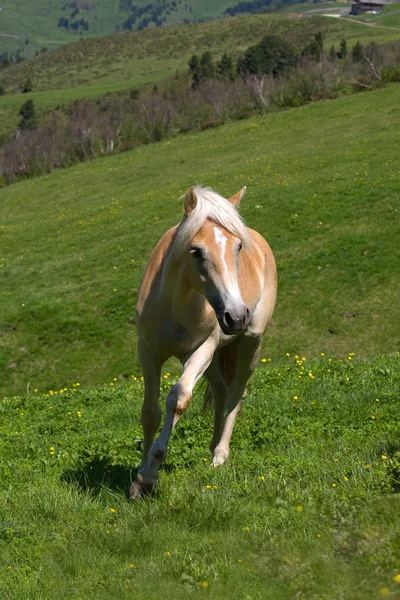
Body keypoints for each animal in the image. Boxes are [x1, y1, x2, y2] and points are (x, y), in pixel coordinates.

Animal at [130, 185, 276, 500]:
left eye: (238, 247)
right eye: (196, 251)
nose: (236, 315)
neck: (174, 305)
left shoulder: (202, 350)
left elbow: (179, 399)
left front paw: (149, 474)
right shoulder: (148, 352)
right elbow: (150, 412)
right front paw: (138, 480)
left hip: (250, 343)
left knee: (236, 393)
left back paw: (220, 455)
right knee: (221, 392)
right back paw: (212, 447)